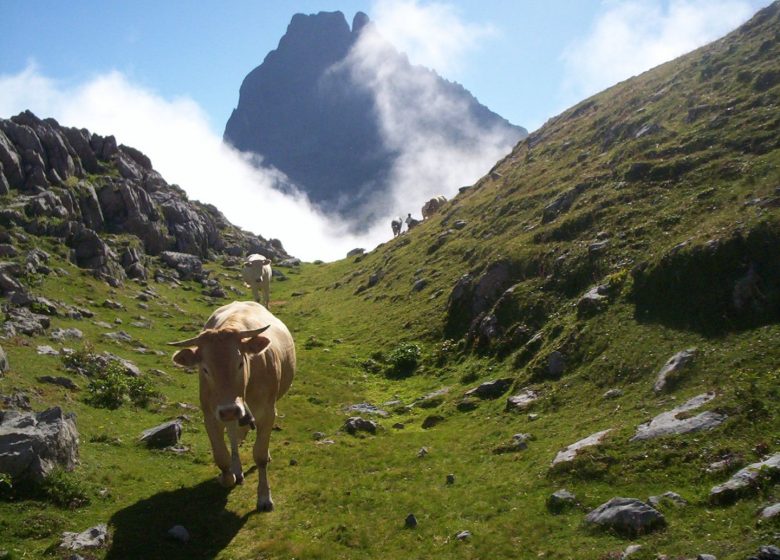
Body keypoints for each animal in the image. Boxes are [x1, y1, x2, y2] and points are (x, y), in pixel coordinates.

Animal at [169, 302, 294, 512]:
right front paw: (228, 476)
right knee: (233, 435)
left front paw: (264, 497)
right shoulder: (211, 415)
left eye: (240, 363)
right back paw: (236, 468)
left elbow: (260, 455)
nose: (229, 410)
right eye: (205, 369)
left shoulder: (268, 412)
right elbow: (221, 456)